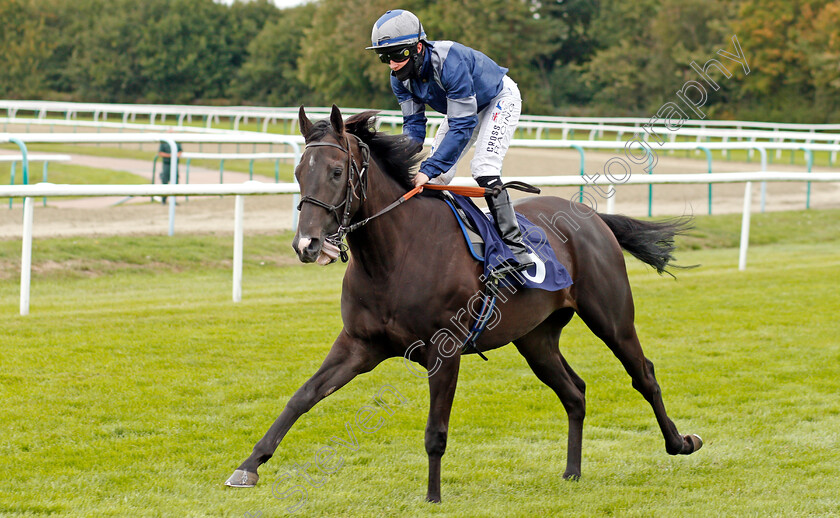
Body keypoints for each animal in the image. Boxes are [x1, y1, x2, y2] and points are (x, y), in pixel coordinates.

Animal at [225, 104, 704, 504]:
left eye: (338, 171)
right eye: (298, 171)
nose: (306, 245)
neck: (396, 255)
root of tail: (592, 218)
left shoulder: (445, 351)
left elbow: (435, 430)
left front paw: (433, 497)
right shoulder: (359, 345)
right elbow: (301, 397)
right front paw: (248, 467)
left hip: (611, 316)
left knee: (644, 375)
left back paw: (680, 442)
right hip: (536, 339)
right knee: (575, 391)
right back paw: (572, 471)